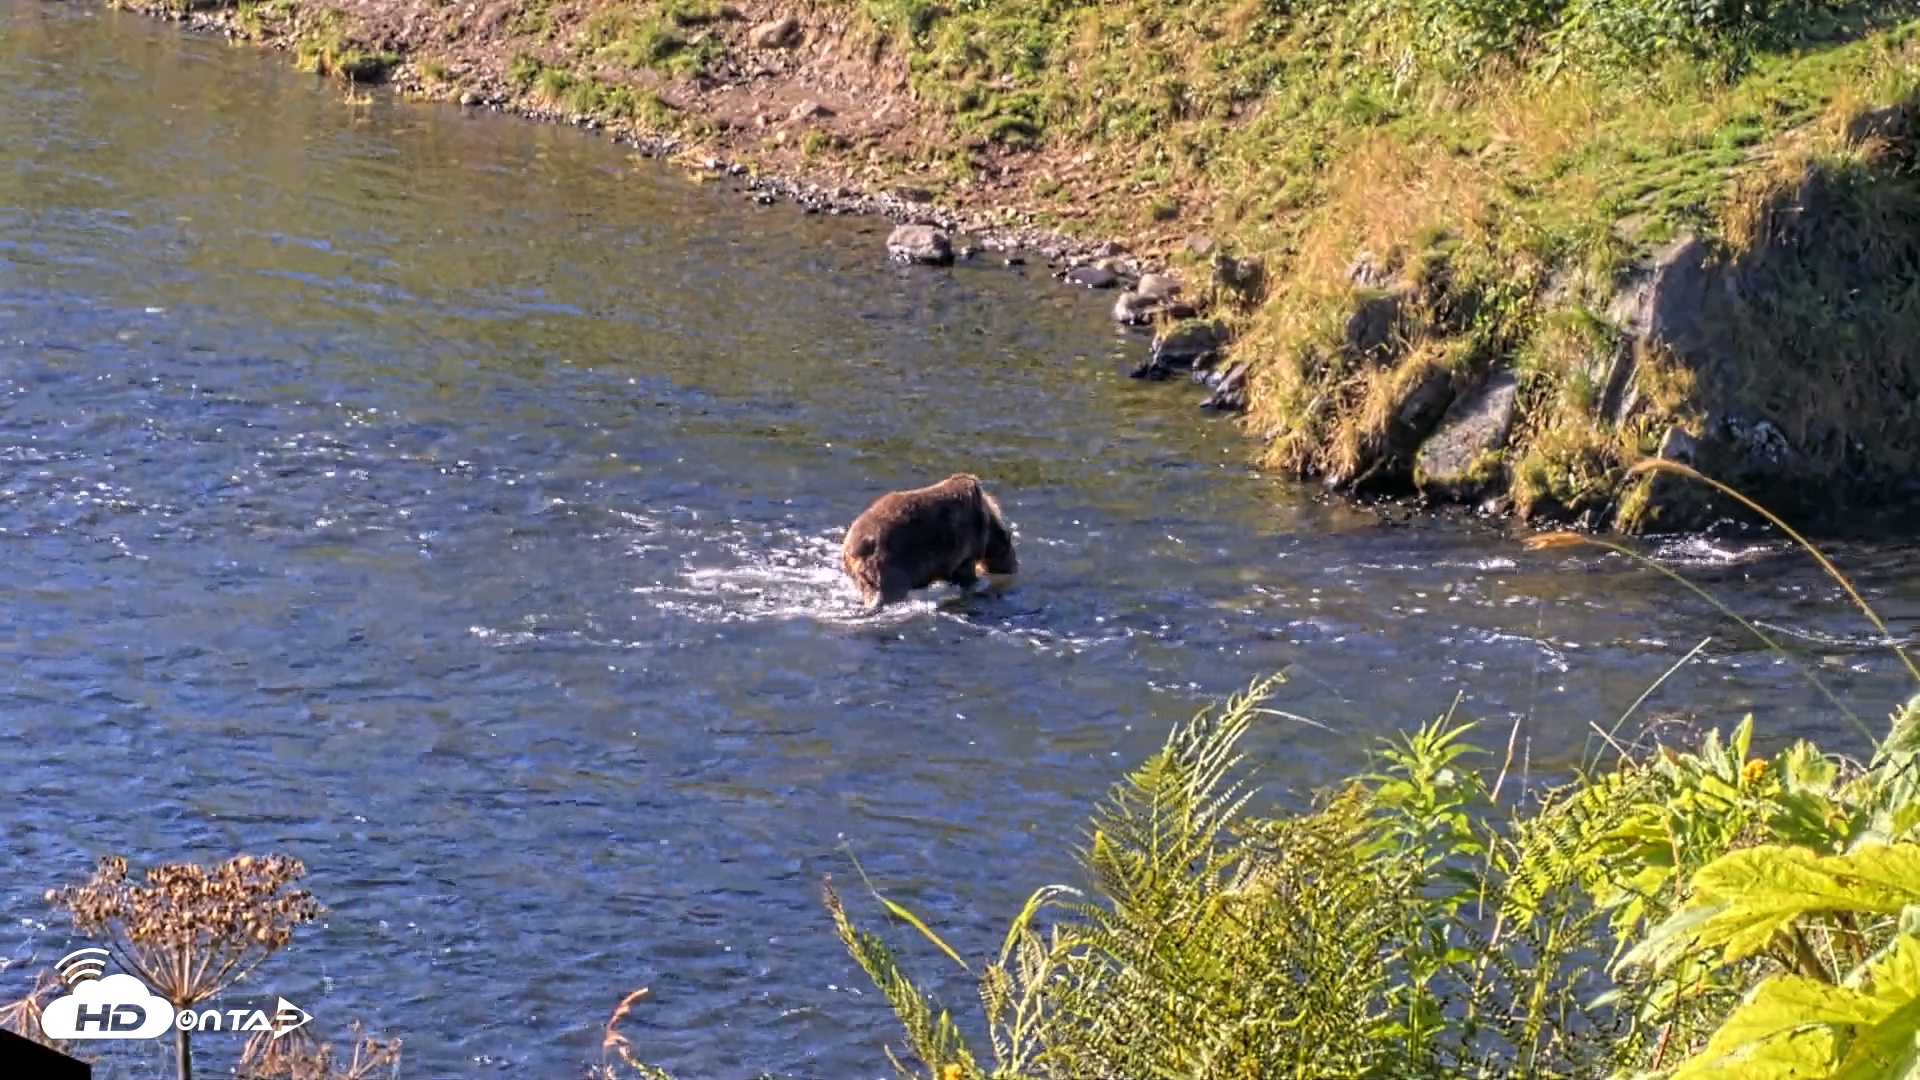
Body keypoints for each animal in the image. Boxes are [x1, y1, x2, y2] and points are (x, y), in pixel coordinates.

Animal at [841, 473, 1019, 610]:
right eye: (1010, 550)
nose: (1015, 566)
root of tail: (851, 546)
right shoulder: (964, 546)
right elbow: (964, 572)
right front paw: (977, 583)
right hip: (888, 563)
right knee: (888, 590)